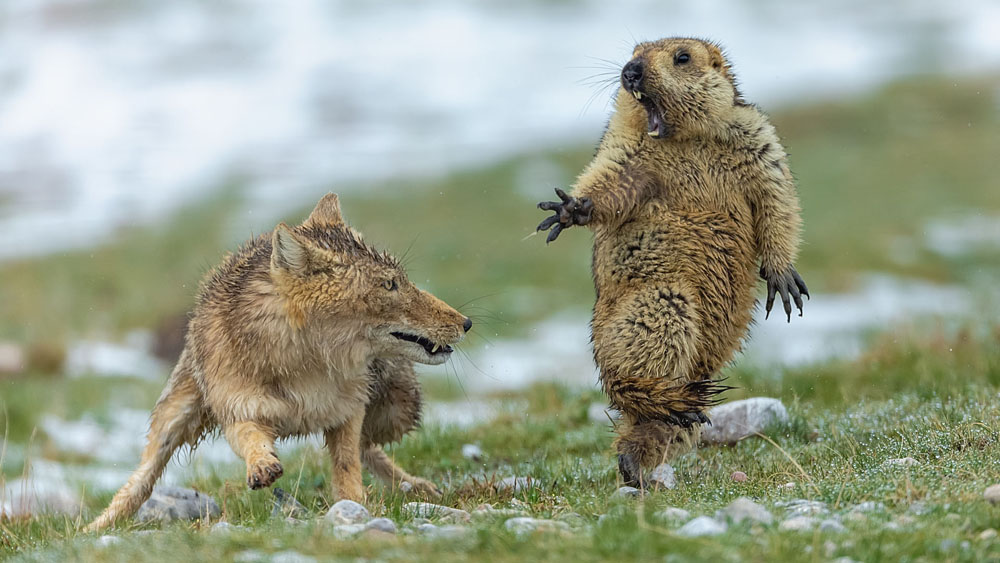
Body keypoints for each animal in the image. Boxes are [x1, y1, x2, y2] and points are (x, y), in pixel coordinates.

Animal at [84, 195, 470, 532]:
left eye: (400, 280)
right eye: (389, 285)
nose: (466, 322)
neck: (305, 367)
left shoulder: (347, 411)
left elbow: (347, 465)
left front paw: (355, 506)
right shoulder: (238, 410)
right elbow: (252, 440)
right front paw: (262, 466)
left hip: (397, 410)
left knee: (370, 448)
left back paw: (416, 486)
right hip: (173, 418)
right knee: (141, 481)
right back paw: (92, 528)